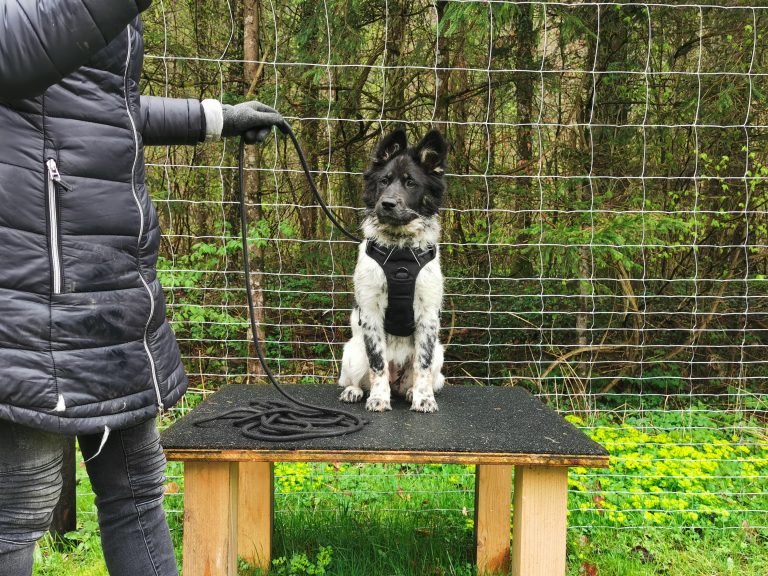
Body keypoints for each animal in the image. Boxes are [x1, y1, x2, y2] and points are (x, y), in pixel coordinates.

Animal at [338, 128, 450, 412]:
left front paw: (423, 399)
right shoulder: (371, 312)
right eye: (384, 181)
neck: (400, 251)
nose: (387, 203)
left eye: (411, 183)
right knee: (357, 379)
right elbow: (378, 364)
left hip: (440, 355)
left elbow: (422, 364)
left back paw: (410, 392)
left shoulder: (428, 316)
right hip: (352, 352)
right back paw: (355, 391)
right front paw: (378, 398)